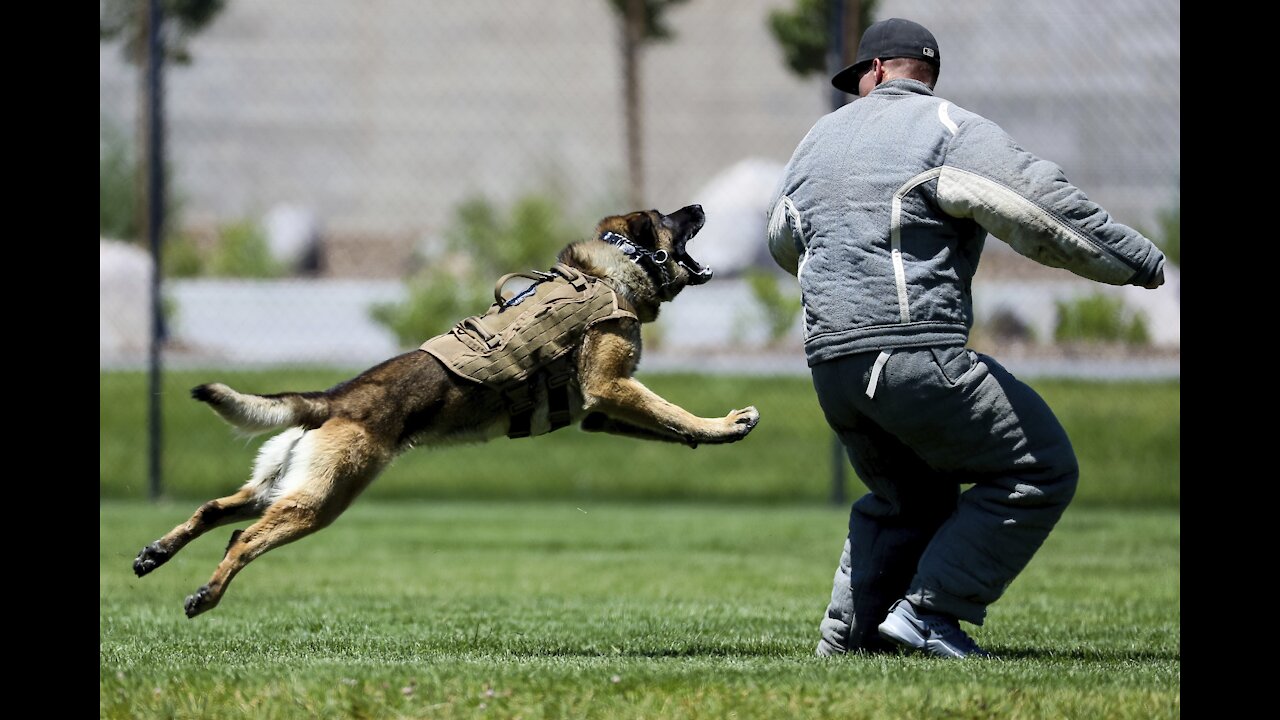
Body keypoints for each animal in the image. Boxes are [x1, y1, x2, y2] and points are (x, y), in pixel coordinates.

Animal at [135, 204, 757, 614]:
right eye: (670, 216)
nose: (699, 205)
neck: (609, 273)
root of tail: (333, 400)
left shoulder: (600, 410)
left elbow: (666, 423)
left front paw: (714, 435)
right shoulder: (610, 388)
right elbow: (672, 410)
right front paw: (723, 423)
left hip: (282, 484)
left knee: (214, 510)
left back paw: (155, 553)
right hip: (321, 499)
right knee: (241, 538)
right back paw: (205, 594)